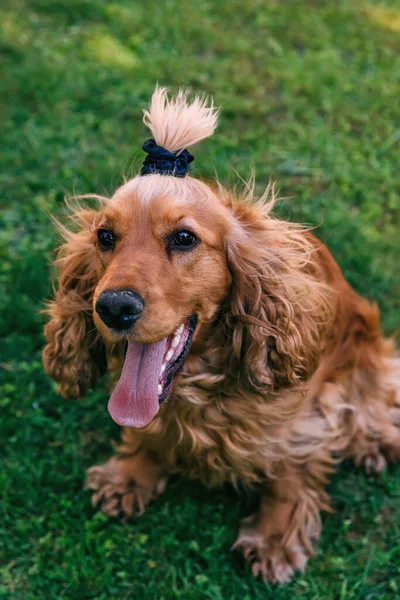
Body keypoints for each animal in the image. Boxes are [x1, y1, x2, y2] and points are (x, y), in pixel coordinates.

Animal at [42, 86, 398, 584]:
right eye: (105, 236)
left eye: (184, 238)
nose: (113, 307)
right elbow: (148, 432)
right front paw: (129, 475)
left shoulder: (307, 412)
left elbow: (290, 473)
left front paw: (274, 540)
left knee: (377, 395)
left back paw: (374, 443)